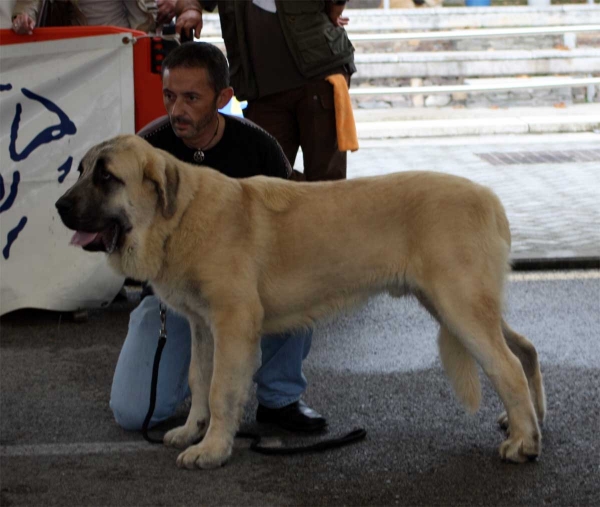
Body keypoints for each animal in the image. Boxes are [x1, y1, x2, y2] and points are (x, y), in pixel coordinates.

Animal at [55, 135, 544, 468]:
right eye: (81, 170)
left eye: (106, 177)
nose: (59, 206)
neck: (178, 217)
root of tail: (491, 198)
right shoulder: (202, 326)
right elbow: (198, 379)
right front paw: (192, 431)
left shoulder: (233, 323)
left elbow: (220, 389)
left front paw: (213, 448)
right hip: (455, 304)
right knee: (525, 348)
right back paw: (529, 419)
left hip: (460, 306)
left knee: (506, 366)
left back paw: (523, 441)